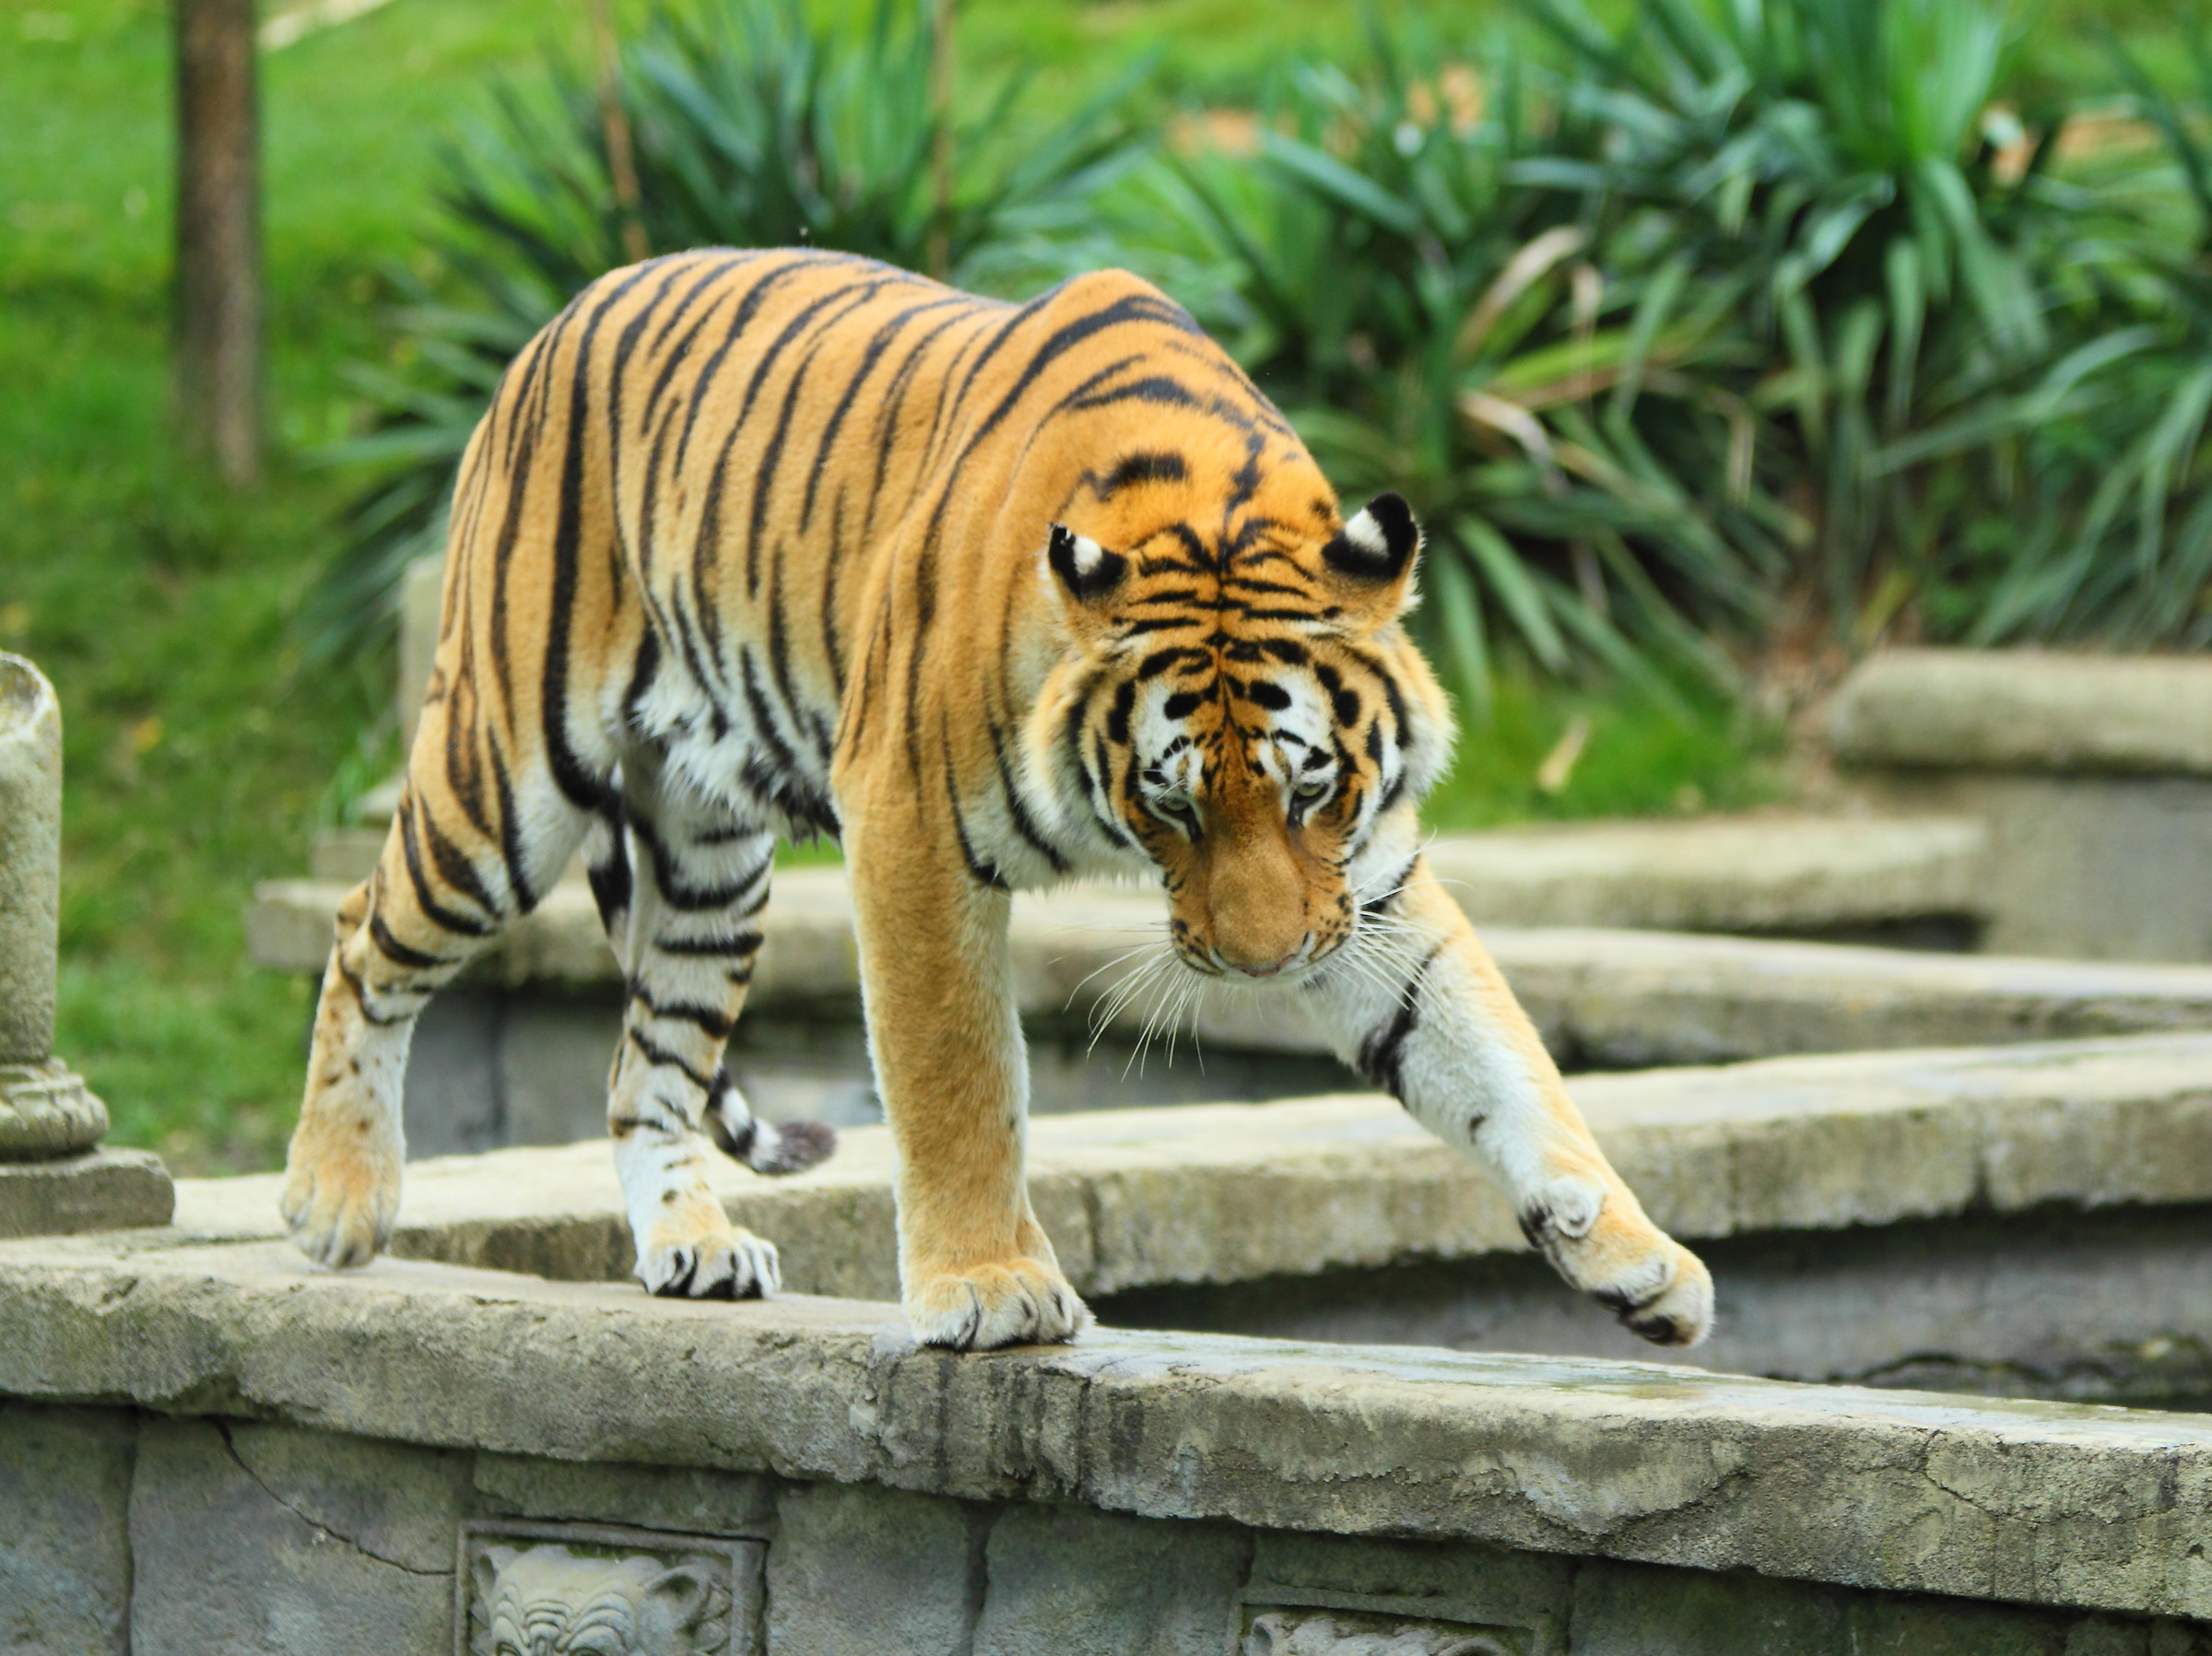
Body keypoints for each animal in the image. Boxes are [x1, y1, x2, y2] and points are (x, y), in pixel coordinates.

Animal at [281, 246, 1714, 1352]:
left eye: (1311, 788)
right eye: (1174, 807)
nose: (1265, 967)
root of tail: (565, 311)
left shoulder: (1361, 885)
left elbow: (1494, 1056)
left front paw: (1637, 1258)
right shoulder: (906, 831)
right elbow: (958, 1078)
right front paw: (991, 1290)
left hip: (708, 861)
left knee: (652, 1063)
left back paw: (694, 1244)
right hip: (508, 776)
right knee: (363, 934)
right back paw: (332, 1203)